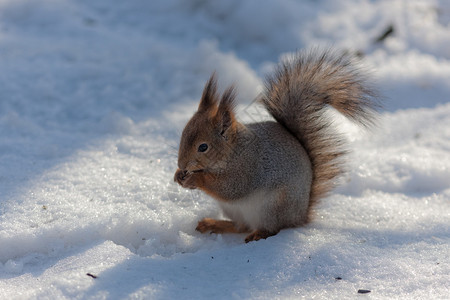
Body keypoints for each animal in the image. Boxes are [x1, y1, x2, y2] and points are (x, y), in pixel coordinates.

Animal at [174, 48, 378, 243]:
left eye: (203, 147)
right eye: (183, 134)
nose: (181, 165)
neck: (233, 150)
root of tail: (300, 216)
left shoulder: (247, 168)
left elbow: (230, 188)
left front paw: (195, 179)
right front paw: (178, 176)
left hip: (273, 207)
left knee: (272, 228)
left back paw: (259, 234)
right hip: (235, 210)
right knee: (241, 226)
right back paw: (214, 224)